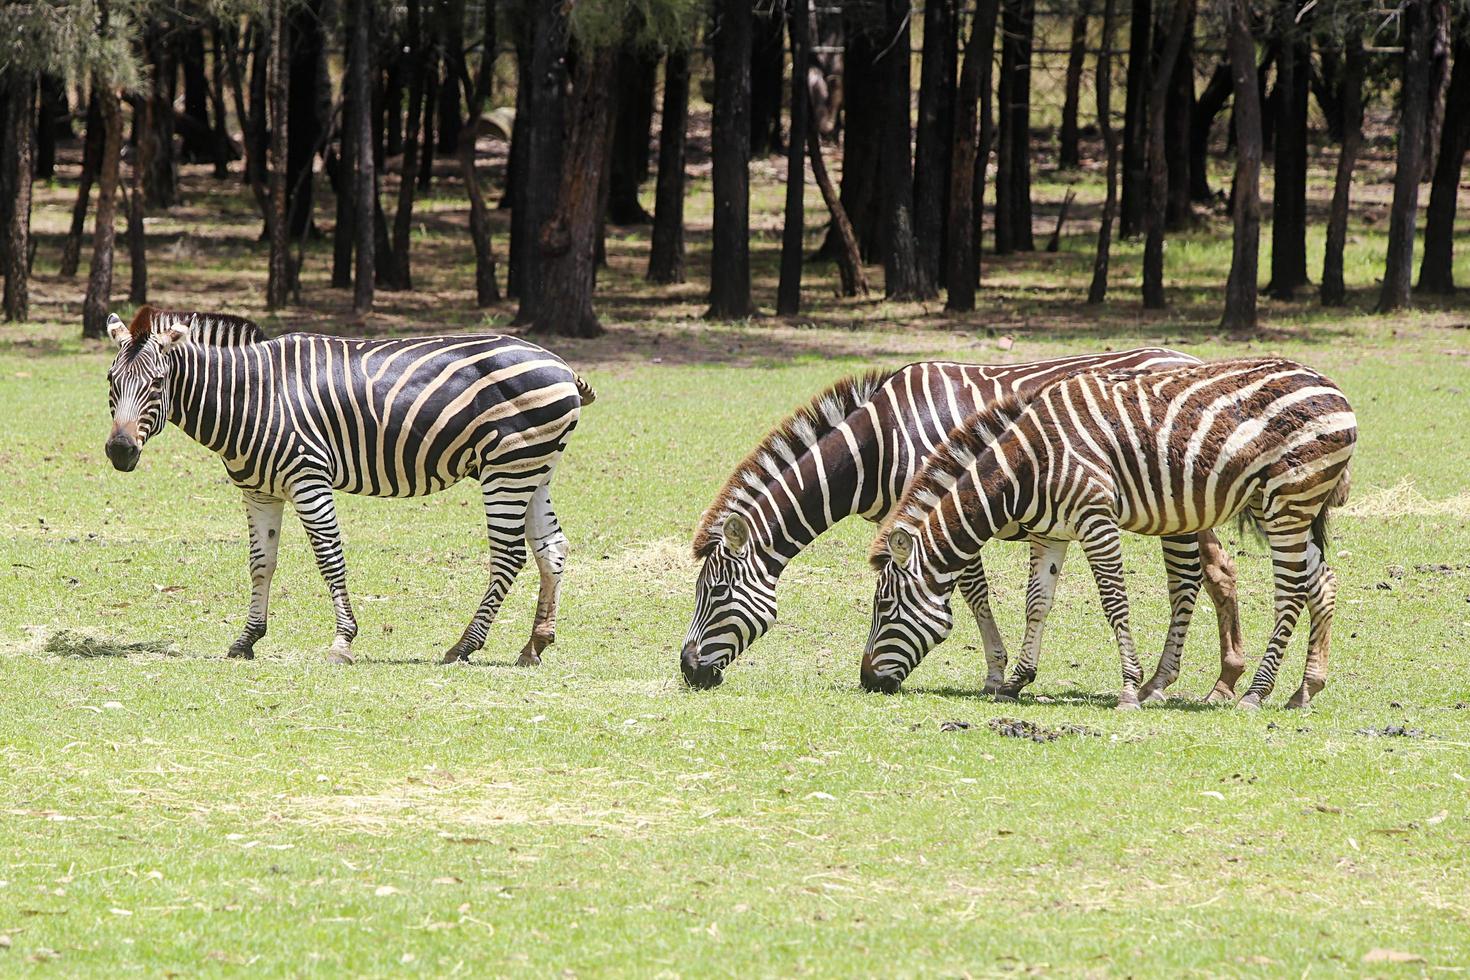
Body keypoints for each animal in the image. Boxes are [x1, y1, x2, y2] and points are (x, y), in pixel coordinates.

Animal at [99, 302, 596, 664]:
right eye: (110, 380)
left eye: (158, 382)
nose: (120, 451)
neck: (252, 394)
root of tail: (560, 363)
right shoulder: (259, 491)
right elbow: (261, 564)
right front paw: (247, 640)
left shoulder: (308, 479)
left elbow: (329, 560)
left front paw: (342, 642)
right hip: (533, 468)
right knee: (552, 548)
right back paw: (535, 644)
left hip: (507, 470)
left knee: (509, 555)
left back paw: (464, 646)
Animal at [682, 348, 1246, 702]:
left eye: (714, 593)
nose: (688, 670)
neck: (879, 446)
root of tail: (1191, 360)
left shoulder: (947, 508)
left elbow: (973, 592)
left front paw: (995, 674)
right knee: (1221, 570)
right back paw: (1224, 682)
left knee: (1190, 578)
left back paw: (1164, 684)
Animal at [858, 357, 1352, 708]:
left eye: (884, 607)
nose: (866, 682)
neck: (1027, 466)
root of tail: (1331, 384)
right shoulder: (1052, 532)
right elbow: (1037, 603)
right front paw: (1017, 681)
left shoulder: (1096, 519)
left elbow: (1115, 603)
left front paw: (1130, 690)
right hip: (1286, 507)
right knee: (1322, 581)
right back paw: (1304, 690)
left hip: (1288, 504)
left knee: (1290, 592)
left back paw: (1255, 694)